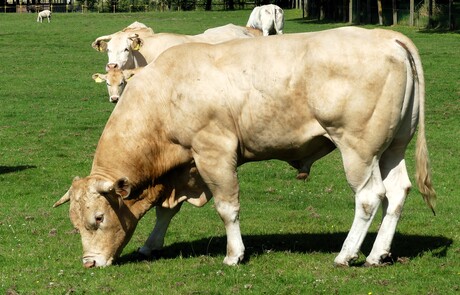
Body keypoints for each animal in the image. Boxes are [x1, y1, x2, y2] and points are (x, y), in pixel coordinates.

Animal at [54, 27, 434, 268]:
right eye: (74, 222)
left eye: (99, 218)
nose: (89, 263)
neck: (164, 94)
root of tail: (386, 36)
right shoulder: (185, 167)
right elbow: (166, 210)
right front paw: (150, 244)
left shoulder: (214, 153)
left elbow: (227, 208)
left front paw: (234, 254)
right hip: (393, 147)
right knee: (397, 192)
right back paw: (377, 255)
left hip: (359, 150)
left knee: (369, 197)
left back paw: (346, 255)